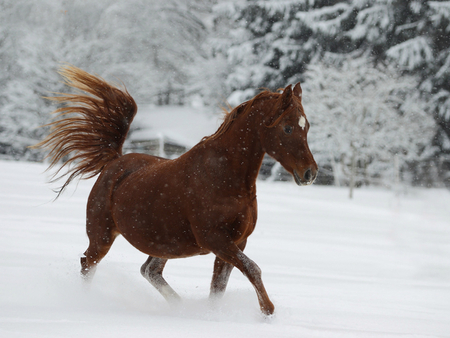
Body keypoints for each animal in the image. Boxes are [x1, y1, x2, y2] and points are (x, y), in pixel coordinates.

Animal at [36, 66, 316, 316]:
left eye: (307, 126)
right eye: (287, 127)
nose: (310, 173)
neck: (225, 177)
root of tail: (115, 162)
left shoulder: (236, 242)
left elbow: (219, 286)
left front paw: (214, 315)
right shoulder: (216, 239)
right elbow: (253, 269)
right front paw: (268, 311)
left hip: (163, 243)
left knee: (149, 270)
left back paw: (179, 306)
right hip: (102, 236)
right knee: (88, 264)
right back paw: (85, 303)